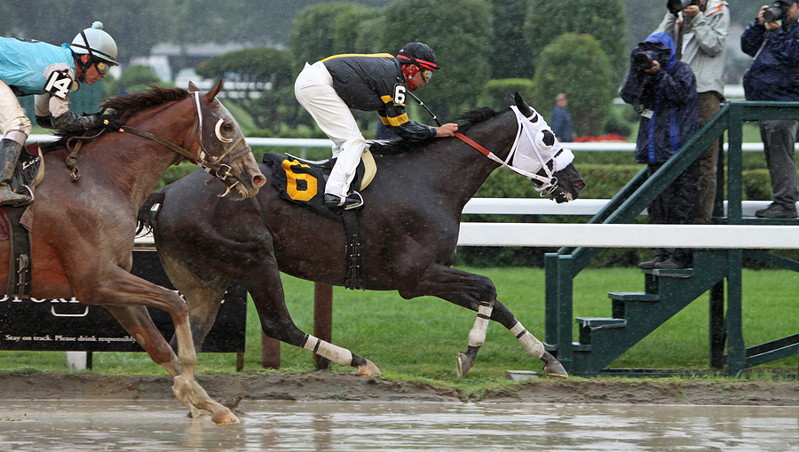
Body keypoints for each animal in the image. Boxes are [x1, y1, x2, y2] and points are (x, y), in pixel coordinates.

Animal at [1, 81, 268, 424]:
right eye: (228, 127)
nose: (255, 177)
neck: (96, 178)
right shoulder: (96, 280)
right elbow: (176, 302)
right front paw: (189, 386)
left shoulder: (111, 285)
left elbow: (157, 345)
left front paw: (210, 404)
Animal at [141, 93, 584, 380]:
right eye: (548, 136)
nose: (576, 181)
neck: (432, 181)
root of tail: (168, 192)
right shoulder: (415, 276)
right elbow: (489, 287)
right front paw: (470, 353)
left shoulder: (434, 272)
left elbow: (497, 304)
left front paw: (548, 359)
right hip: (254, 258)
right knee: (278, 324)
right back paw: (360, 362)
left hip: (206, 275)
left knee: (191, 332)